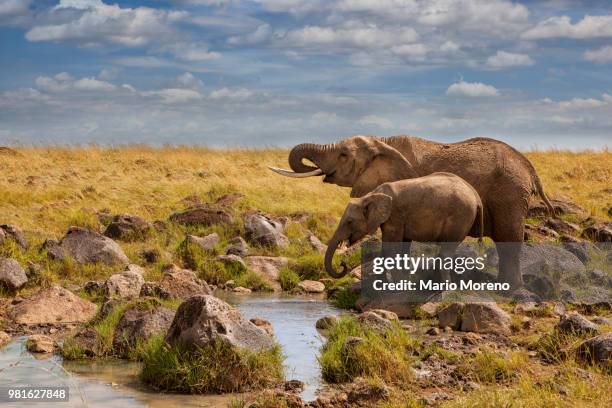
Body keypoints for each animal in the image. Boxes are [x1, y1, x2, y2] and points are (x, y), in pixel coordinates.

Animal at [326, 172, 482, 278]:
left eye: (349, 222)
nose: (342, 265)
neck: (370, 196)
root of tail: (476, 195)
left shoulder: (394, 215)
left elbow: (391, 249)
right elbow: (402, 246)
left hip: (460, 216)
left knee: (446, 251)